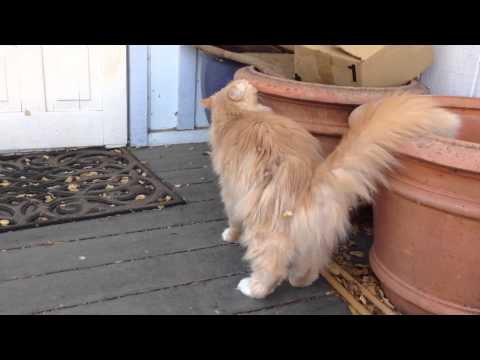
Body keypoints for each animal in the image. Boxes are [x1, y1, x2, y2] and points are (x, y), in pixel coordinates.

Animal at [200, 79, 462, 298]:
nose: (252, 84)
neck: (236, 116)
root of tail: (313, 182)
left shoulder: (231, 193)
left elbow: (233, 220)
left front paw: (230, 235)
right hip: (313, 239)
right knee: (310, 263)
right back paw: (301, 280)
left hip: (265, 233)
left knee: (271, 268)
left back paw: (253, 288)